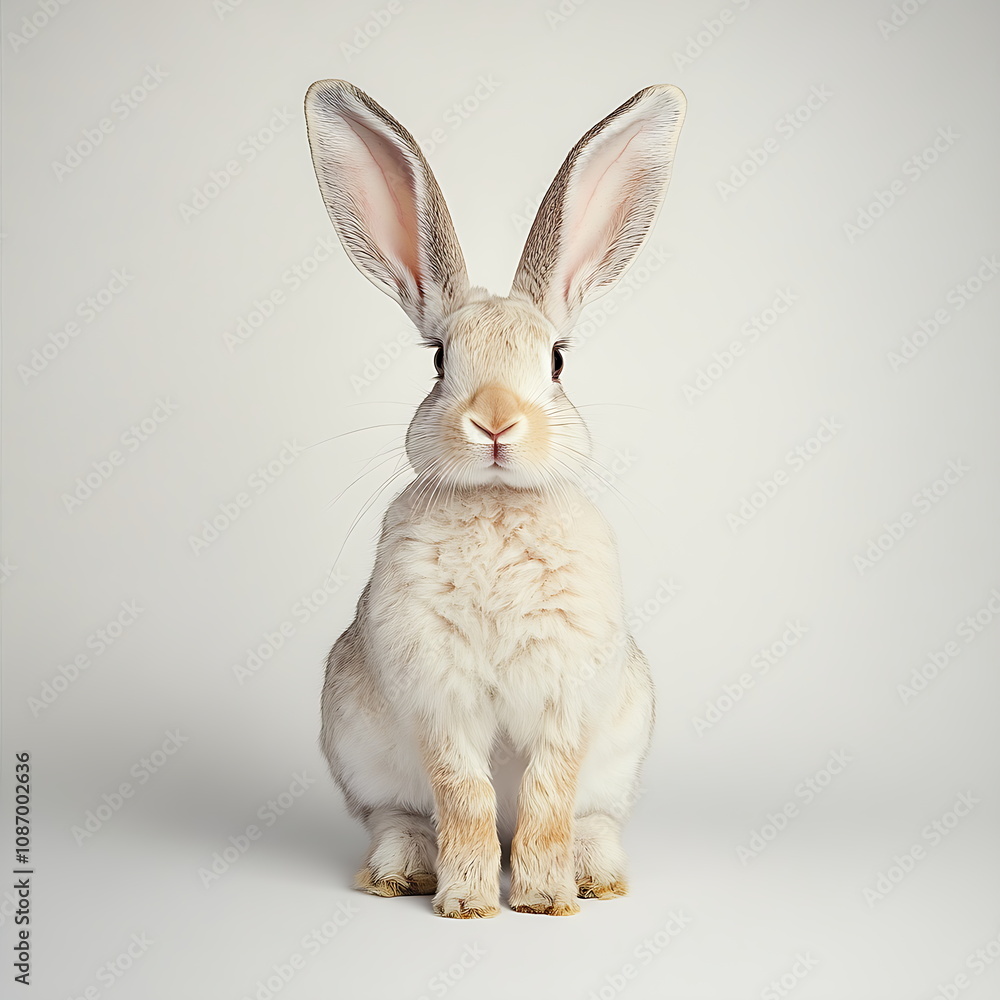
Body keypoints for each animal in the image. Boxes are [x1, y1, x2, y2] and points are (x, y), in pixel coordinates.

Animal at [303, 79, 685, 917]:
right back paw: (400, 872)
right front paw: (470, 900)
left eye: (558, 361)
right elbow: (465, 796)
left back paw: (595, 876)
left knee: (588, 816)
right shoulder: (438, 696)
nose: (496, 421)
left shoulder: (569, 698)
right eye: (440, 360)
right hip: (360, 753)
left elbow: (547, 797)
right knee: (405, 816)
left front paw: (543, 899)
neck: (498, 505)